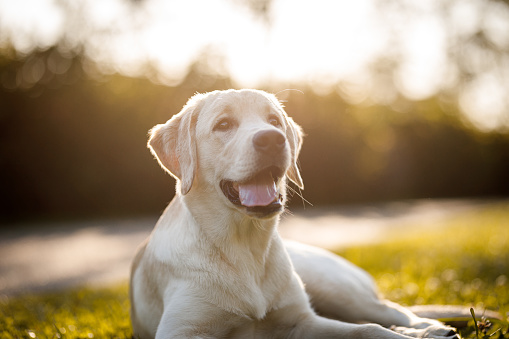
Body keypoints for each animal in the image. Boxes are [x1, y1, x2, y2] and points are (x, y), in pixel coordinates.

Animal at [129, 90, 458, 339]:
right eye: (223, 124)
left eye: (274, 121)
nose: (272, 138)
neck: (244, 247)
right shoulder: (182, 331)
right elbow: (369, 329)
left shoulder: (302, 321)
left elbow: (369, 330)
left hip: (333, 287)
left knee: (388, 311)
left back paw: (428, 329)